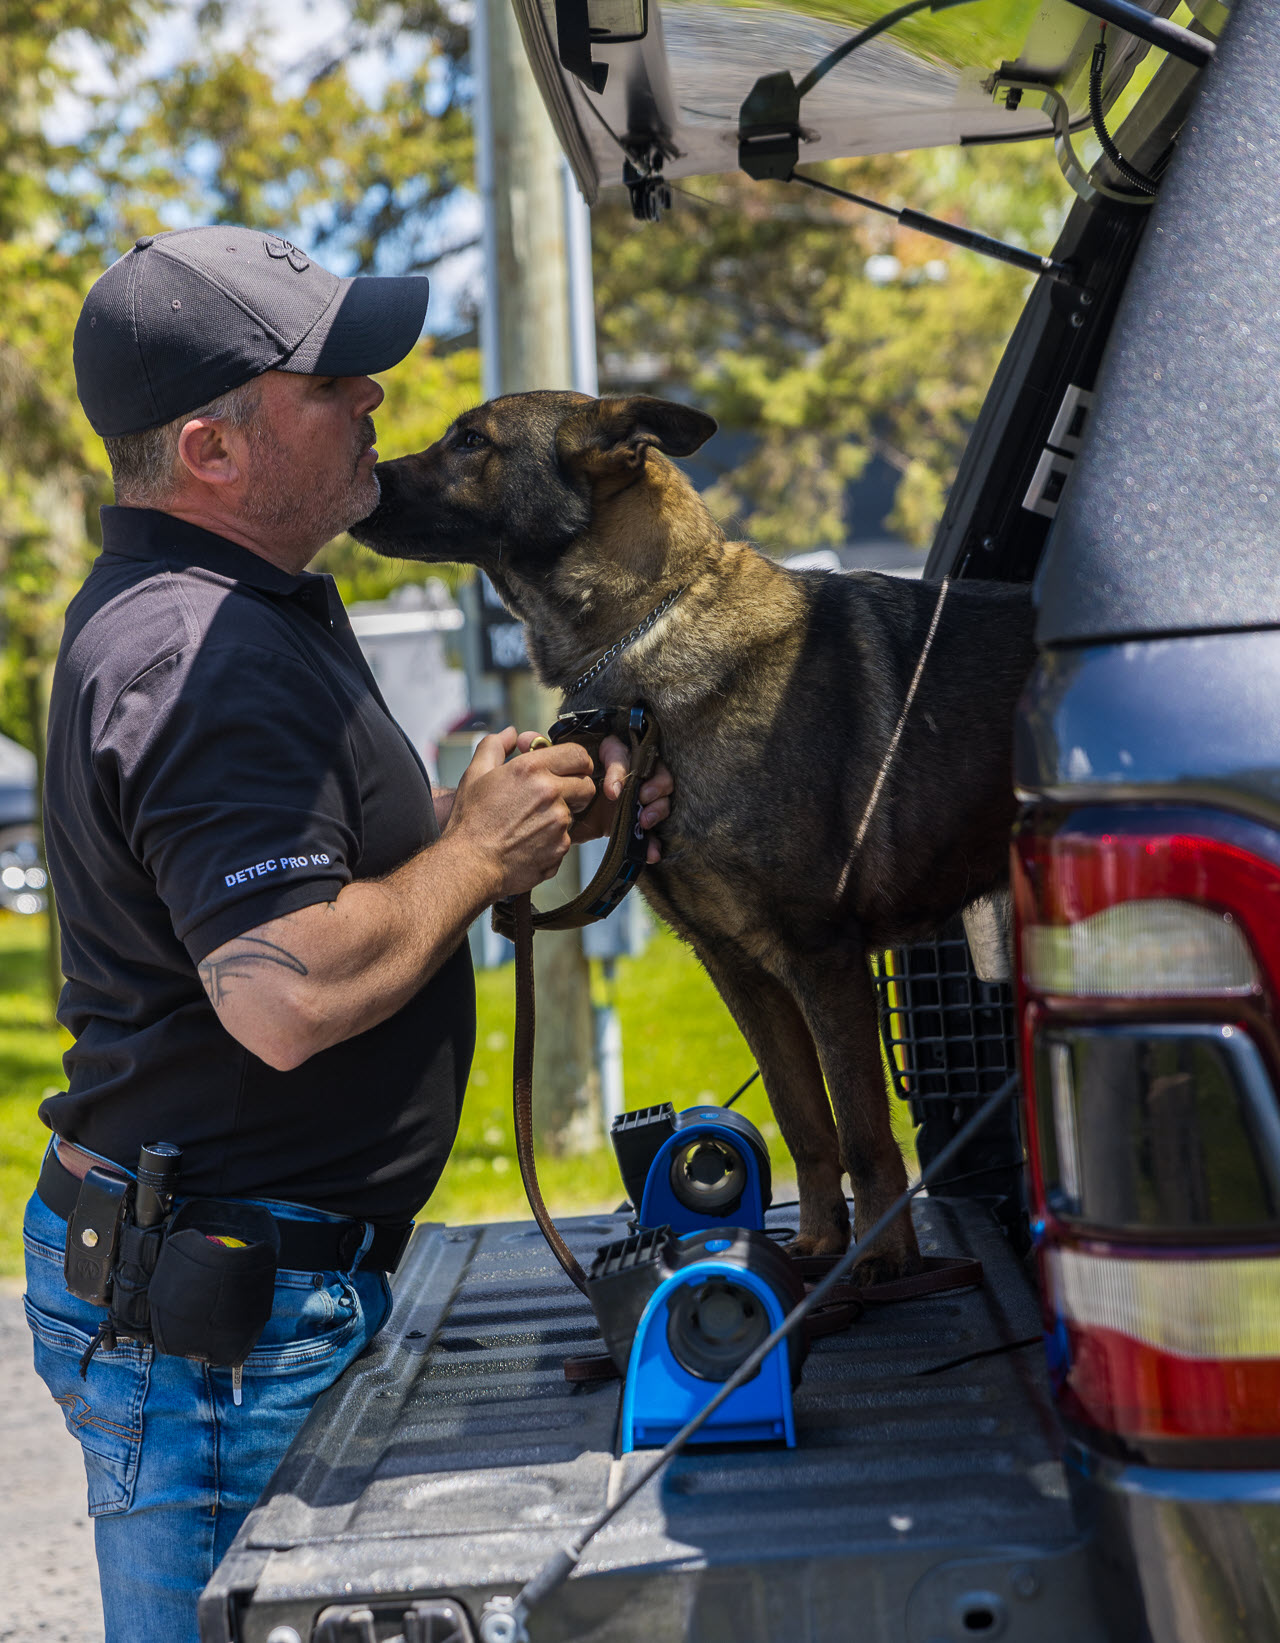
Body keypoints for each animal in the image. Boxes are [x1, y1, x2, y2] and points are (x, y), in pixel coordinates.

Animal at [353, 397, 1038, 1281]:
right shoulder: (740, 967)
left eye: (473, 441)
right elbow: (803, 1120)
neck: (649, 625)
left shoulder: (823, 957)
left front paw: (881, 1264)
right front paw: (816, 1246)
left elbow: (861, 1130)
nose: (365, 483)